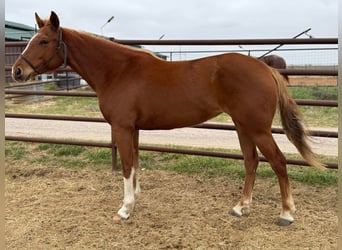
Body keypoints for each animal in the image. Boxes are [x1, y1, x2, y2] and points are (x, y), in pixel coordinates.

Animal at [12, 12, 324, 227]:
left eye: (43, 41)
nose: (17, 71)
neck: (118, 71)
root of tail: (264, 67)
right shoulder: (133, 129)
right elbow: (135, 163)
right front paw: (135, 198)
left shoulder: (122, 128)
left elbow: (126, 166)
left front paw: (124, 209)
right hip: (242, 126)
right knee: (251, 161)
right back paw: (241, 207)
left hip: (258, 129)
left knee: (278, 162)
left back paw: (286, 214)